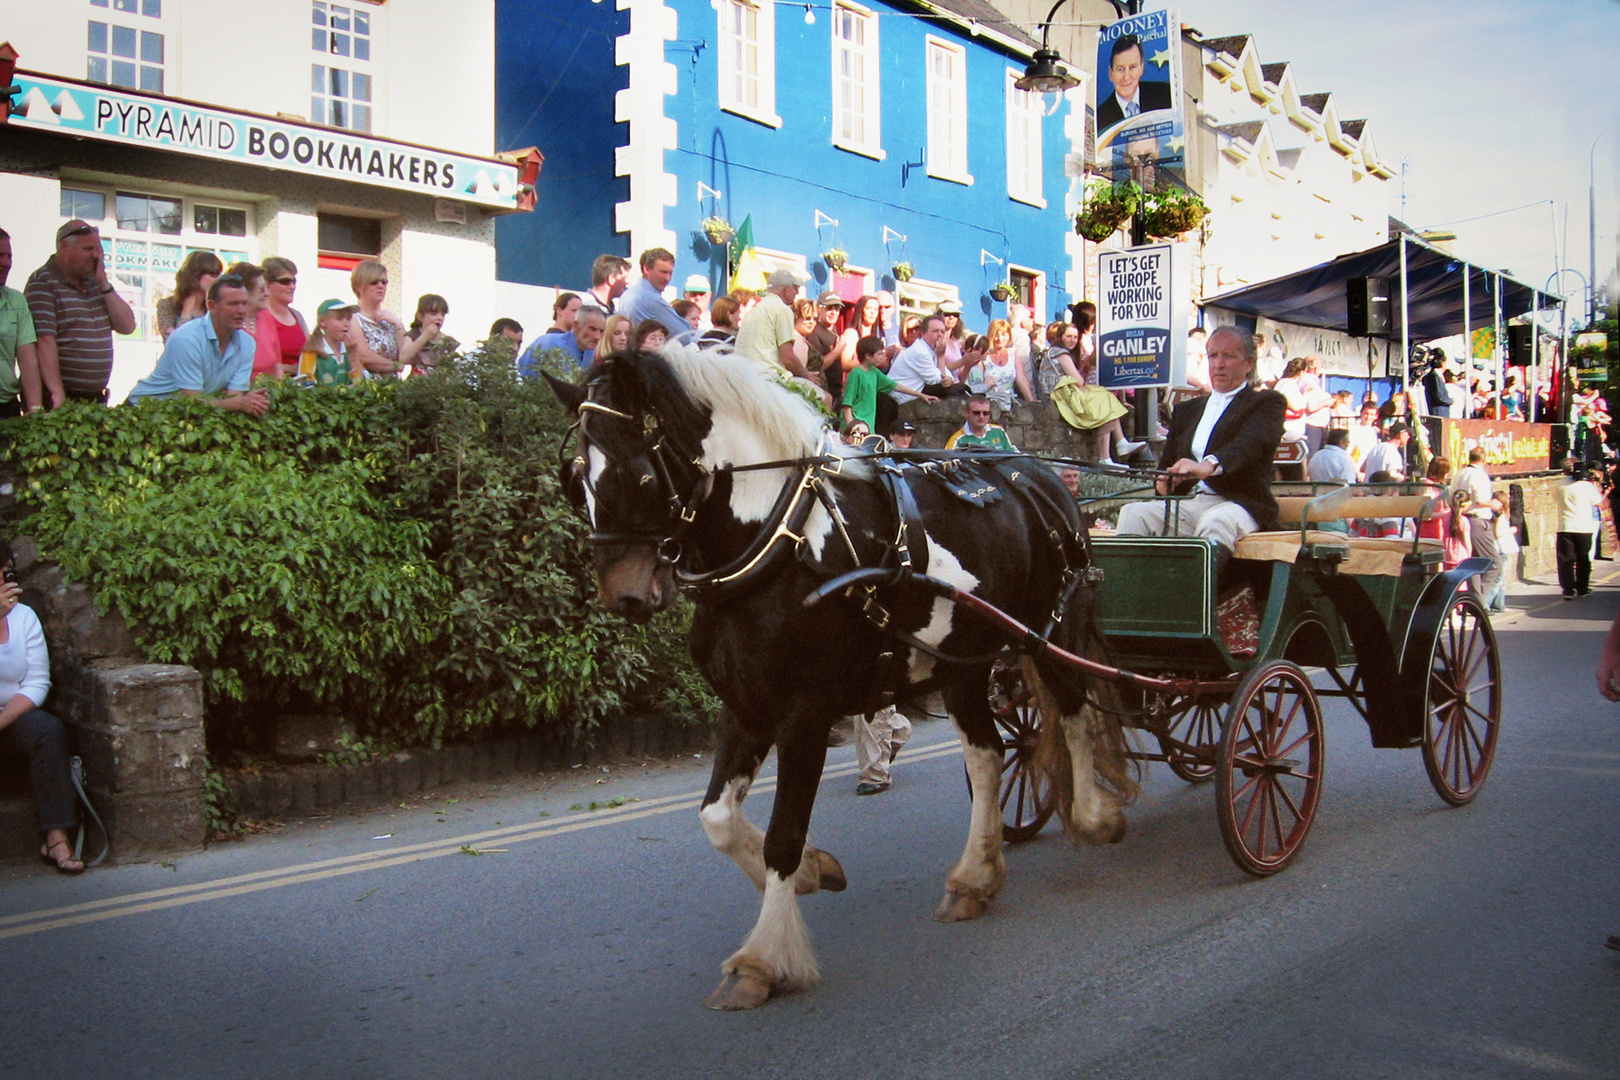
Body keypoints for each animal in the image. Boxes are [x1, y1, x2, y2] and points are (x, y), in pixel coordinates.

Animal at [550, 348, 1134, 1016]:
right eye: (576, 476)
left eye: (640, 476)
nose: (622, 595)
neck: (781, 545)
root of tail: (1041, 474)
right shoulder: (745, 709)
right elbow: (717, 819)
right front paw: (812, 871)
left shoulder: (804, 715)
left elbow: (782, 835)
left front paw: (766, 957)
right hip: (963, 666)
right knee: (987, 758)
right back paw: (975, 877)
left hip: (1049, 635)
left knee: (1077, 716)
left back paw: (1094, 817)